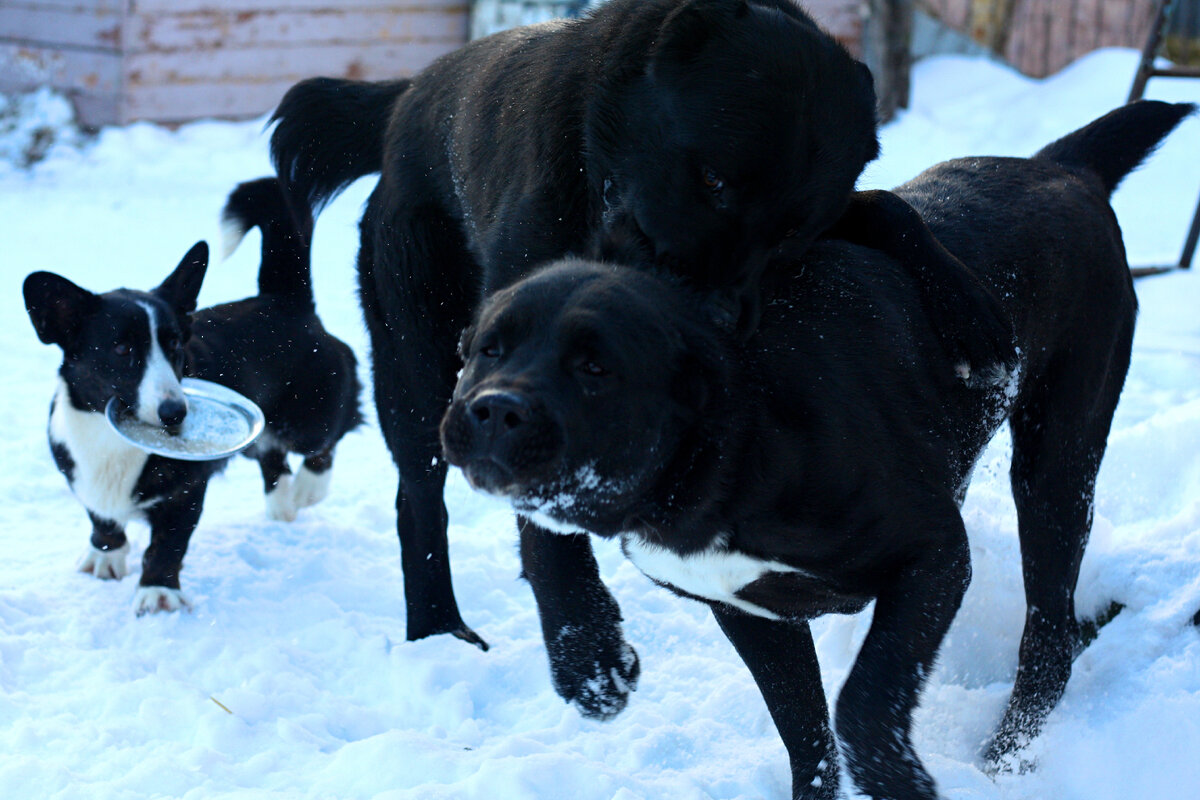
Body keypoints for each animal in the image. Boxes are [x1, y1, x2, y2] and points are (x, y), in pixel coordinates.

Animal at [23, 176, 357, 614]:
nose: (175, 413)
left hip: (310, 415)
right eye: (122, 350)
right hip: (261, 432)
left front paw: (157, 593)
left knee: (327, 437)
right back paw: (282, 504)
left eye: (175, 344)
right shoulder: (83, 477)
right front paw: (104, 556)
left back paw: (307, 489)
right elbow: (102, 517)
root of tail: (285, 300)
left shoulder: (186, 491)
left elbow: (169, 544)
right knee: (272, 456)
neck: (111, 438)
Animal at [272, 0, 1012, 714]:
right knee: (419, 497)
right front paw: (585, 649)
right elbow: (542, 526)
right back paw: (437, 628)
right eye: (711, 179)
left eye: (792, 232)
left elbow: (887, 206)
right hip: (417, 368)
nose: (716, 320)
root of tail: (411, 95)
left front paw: (970, 313)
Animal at [441, 101, 1190, 800]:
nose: (494, 409)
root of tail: (1061, 167)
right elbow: (803, 727)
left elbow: (863, 702)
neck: (731, 441)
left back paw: (1008, 757)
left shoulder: (934, 556)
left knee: (1050, 632)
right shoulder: (752, 613)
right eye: (488, 349)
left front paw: (898, 779)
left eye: (596, 368)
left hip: (1056, 459)